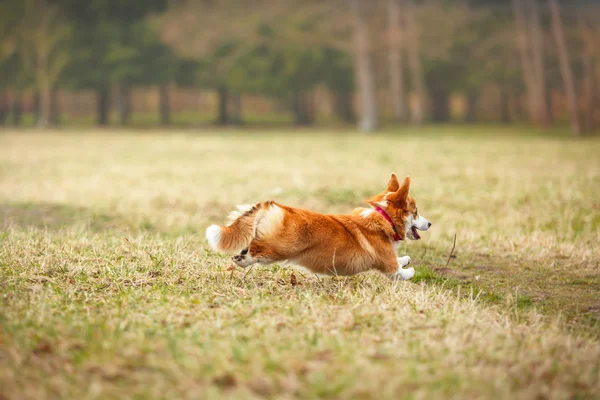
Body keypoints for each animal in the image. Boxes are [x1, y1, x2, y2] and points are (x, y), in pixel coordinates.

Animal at [206, 174, 432, 282]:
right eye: (416, 212)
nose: (430, 223)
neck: (383, 217)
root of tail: (272, 205)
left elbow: (399, 259)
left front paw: (405, 258)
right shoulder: (387, 265)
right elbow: (399, 271)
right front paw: (410, 270)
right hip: (278, 248)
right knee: (255, 250)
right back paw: (242, 259)